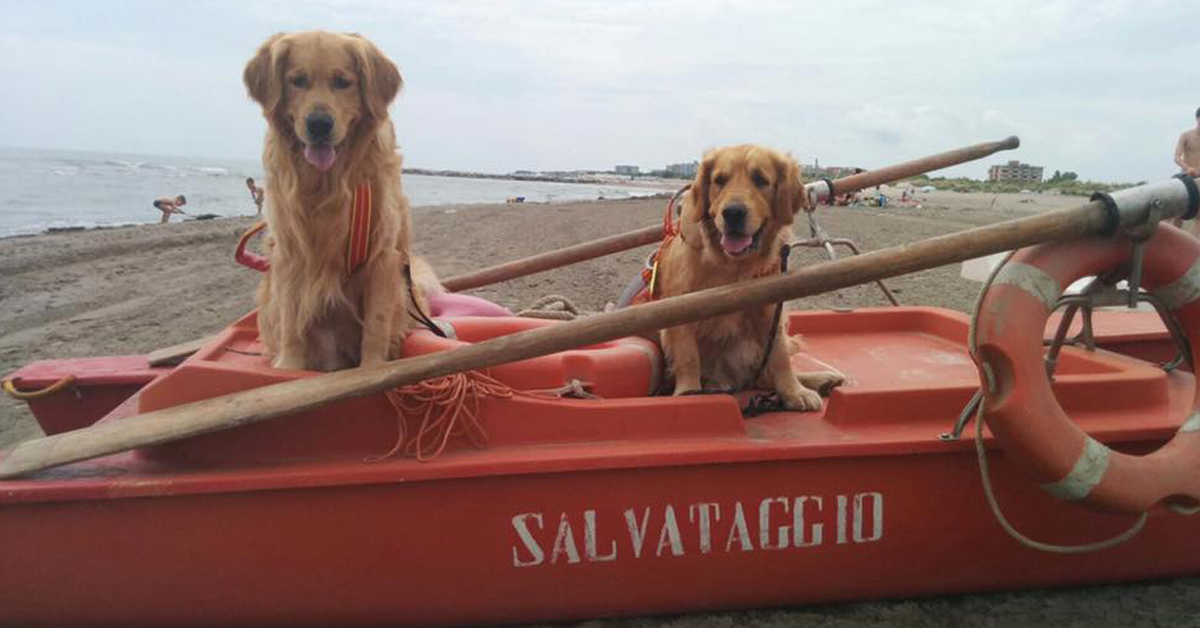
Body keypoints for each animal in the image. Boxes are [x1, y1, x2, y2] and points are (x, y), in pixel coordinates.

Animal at [244, 29, 432, 372]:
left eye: (342, 82)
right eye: (297, 80)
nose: (319, 124)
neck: (328, 183)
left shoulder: (381, 256)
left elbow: (376, 324)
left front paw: (372, 368)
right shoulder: (290, 252)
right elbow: (291, 320)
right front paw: (288, 368)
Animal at [657, 144, 844, 410]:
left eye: (760, 180)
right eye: (719, 180)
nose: (733, 212)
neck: (732, 267)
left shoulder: (771, 311)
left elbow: (780, 358)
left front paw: (794, 391)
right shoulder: (679, 311)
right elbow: (688, 357)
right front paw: (689, 394)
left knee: (764, 377)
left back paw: (821, 380)